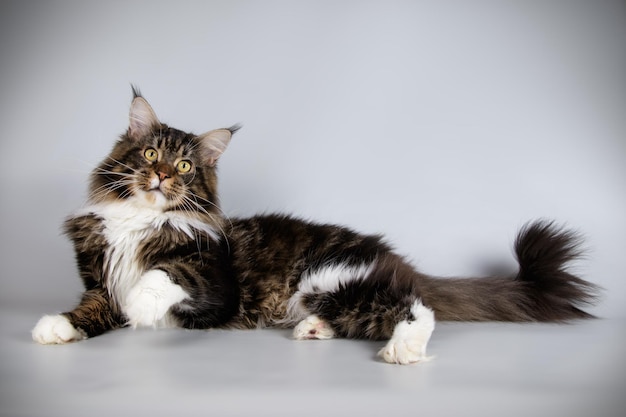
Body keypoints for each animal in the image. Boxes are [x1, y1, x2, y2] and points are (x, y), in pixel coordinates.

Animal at [30, 88, 596, 364]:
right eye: (150, 154)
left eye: (186, 165)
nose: (163, 175)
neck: (142, 220)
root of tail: (394, 257)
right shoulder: (99, 279)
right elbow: (93, 308)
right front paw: (59, 325)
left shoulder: (215, 284)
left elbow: (165, 275)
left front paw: (141, 305)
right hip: (331, 291)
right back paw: (314, 329)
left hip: (332, 277)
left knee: (416, 305)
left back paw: (403, 350)